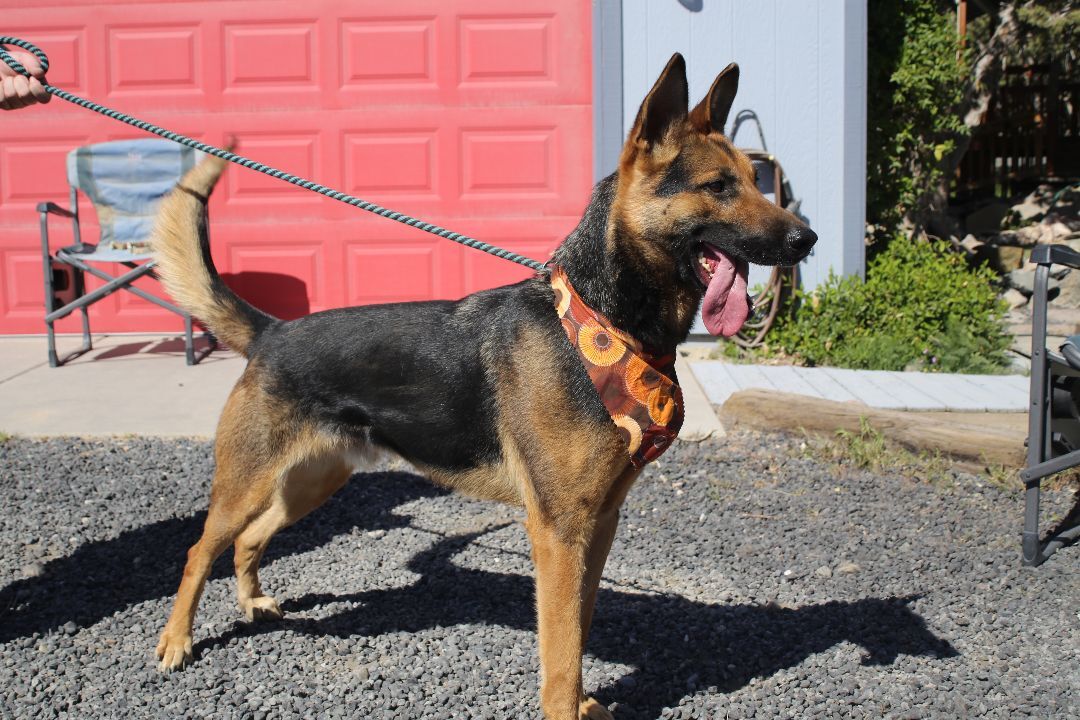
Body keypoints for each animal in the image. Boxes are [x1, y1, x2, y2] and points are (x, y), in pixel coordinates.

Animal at [150, 56, 812, 720]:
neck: (603, 320)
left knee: (248, 540)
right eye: (718, 186)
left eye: (755, 181)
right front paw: (565, 708)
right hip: (247, 483)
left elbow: (578, 632)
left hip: (312, 480)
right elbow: (560, 650)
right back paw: (176, 641)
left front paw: (584, 702)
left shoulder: (598, 525)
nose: (804, 240)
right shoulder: (558, 532)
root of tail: (273, 330)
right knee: (198, 551)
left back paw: (253, 604)